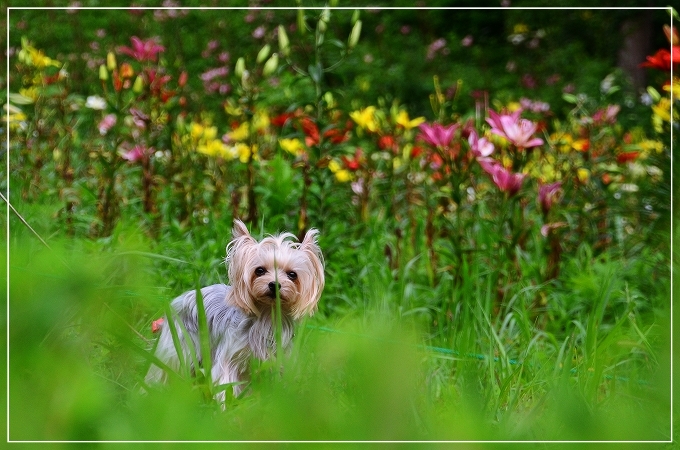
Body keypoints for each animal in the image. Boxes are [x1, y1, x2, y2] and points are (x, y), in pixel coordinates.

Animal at [145, 220, 326, 400]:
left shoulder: (278, 360)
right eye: (260, 270)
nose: (274, 284)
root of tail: (180, 299)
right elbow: (226, 387)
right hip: (178, 345)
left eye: (292, 275)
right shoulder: (229, 360)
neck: (268, 315)